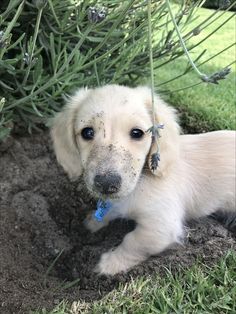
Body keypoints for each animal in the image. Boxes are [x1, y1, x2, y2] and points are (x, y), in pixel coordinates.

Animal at [50, 84, 235, 274]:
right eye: (87, 132)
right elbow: (109, 211)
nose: (107, 184)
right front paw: (93, 222)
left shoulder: (161, 224)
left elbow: (133, 242)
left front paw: (110, 264)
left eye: (137, 133)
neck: (142, 180)